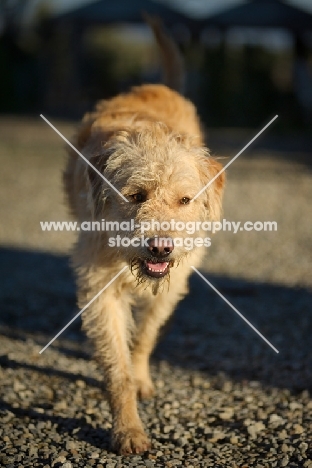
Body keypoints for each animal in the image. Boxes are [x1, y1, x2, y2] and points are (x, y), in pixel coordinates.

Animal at [62, 20, 224, 456]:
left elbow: (145, 337)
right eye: (135, 196)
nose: (161, 246)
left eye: (185, 200)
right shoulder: (100, 287)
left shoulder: (173, 282)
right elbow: (116, 367)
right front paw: (128, 430)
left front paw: (141, 379)